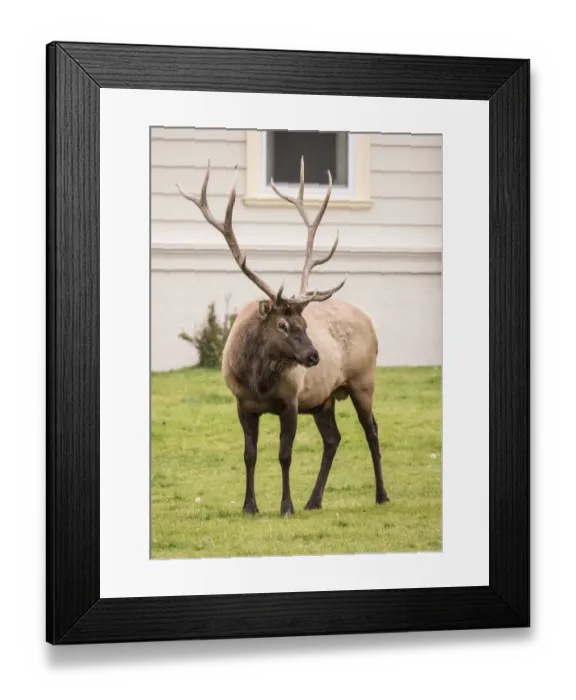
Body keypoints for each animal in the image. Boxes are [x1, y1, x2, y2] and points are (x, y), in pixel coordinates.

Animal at [176, 156, 390, 516]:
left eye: (304, 323)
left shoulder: (291, 401)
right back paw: (314, 500)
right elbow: (249, 455)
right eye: (283, 326)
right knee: (333, 439)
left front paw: (285, 505)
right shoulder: (243, 404)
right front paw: (250, 506)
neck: (258, 381)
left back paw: (381, 495)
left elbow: (284, 456)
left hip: (363, 380)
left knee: (372, 431)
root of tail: (371, 323)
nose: (314, 356)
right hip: (324, 399)